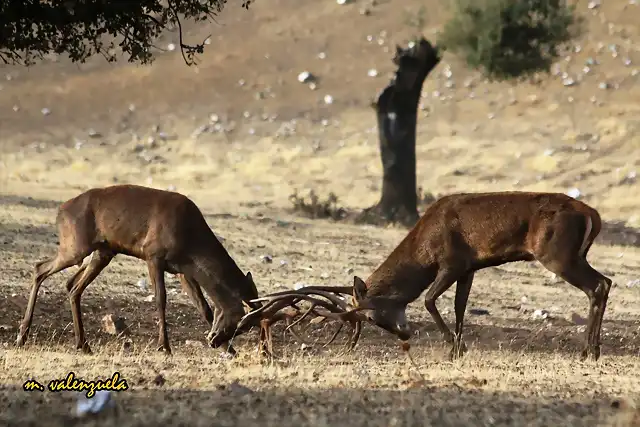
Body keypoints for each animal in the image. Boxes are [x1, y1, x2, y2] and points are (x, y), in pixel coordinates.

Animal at [14, 184, 260, 354]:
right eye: (242, 317)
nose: (215, 340)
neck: (191, 241)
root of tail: (60, 211)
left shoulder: (183, 269)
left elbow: (204, 307)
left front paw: (230, 351)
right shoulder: (153, 255)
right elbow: (161, 298)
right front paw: (164, 347)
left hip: (103, 251)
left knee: (72, 286)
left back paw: (82, 344)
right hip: (75, 246)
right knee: (40, 268)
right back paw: (22, 336)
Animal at [242, 192, 612, 362]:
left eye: (372, 316)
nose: (405, 333)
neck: (423, 248)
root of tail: (594, 215)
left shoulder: (451, 261)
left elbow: (430, 299)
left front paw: (452, 346)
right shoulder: (470, 268)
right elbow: (460, 307)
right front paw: (458, 348)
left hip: (558, 255)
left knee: (598, 285)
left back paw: (588, 351)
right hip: (575, 255)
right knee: (605, 282)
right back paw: (592, 349)